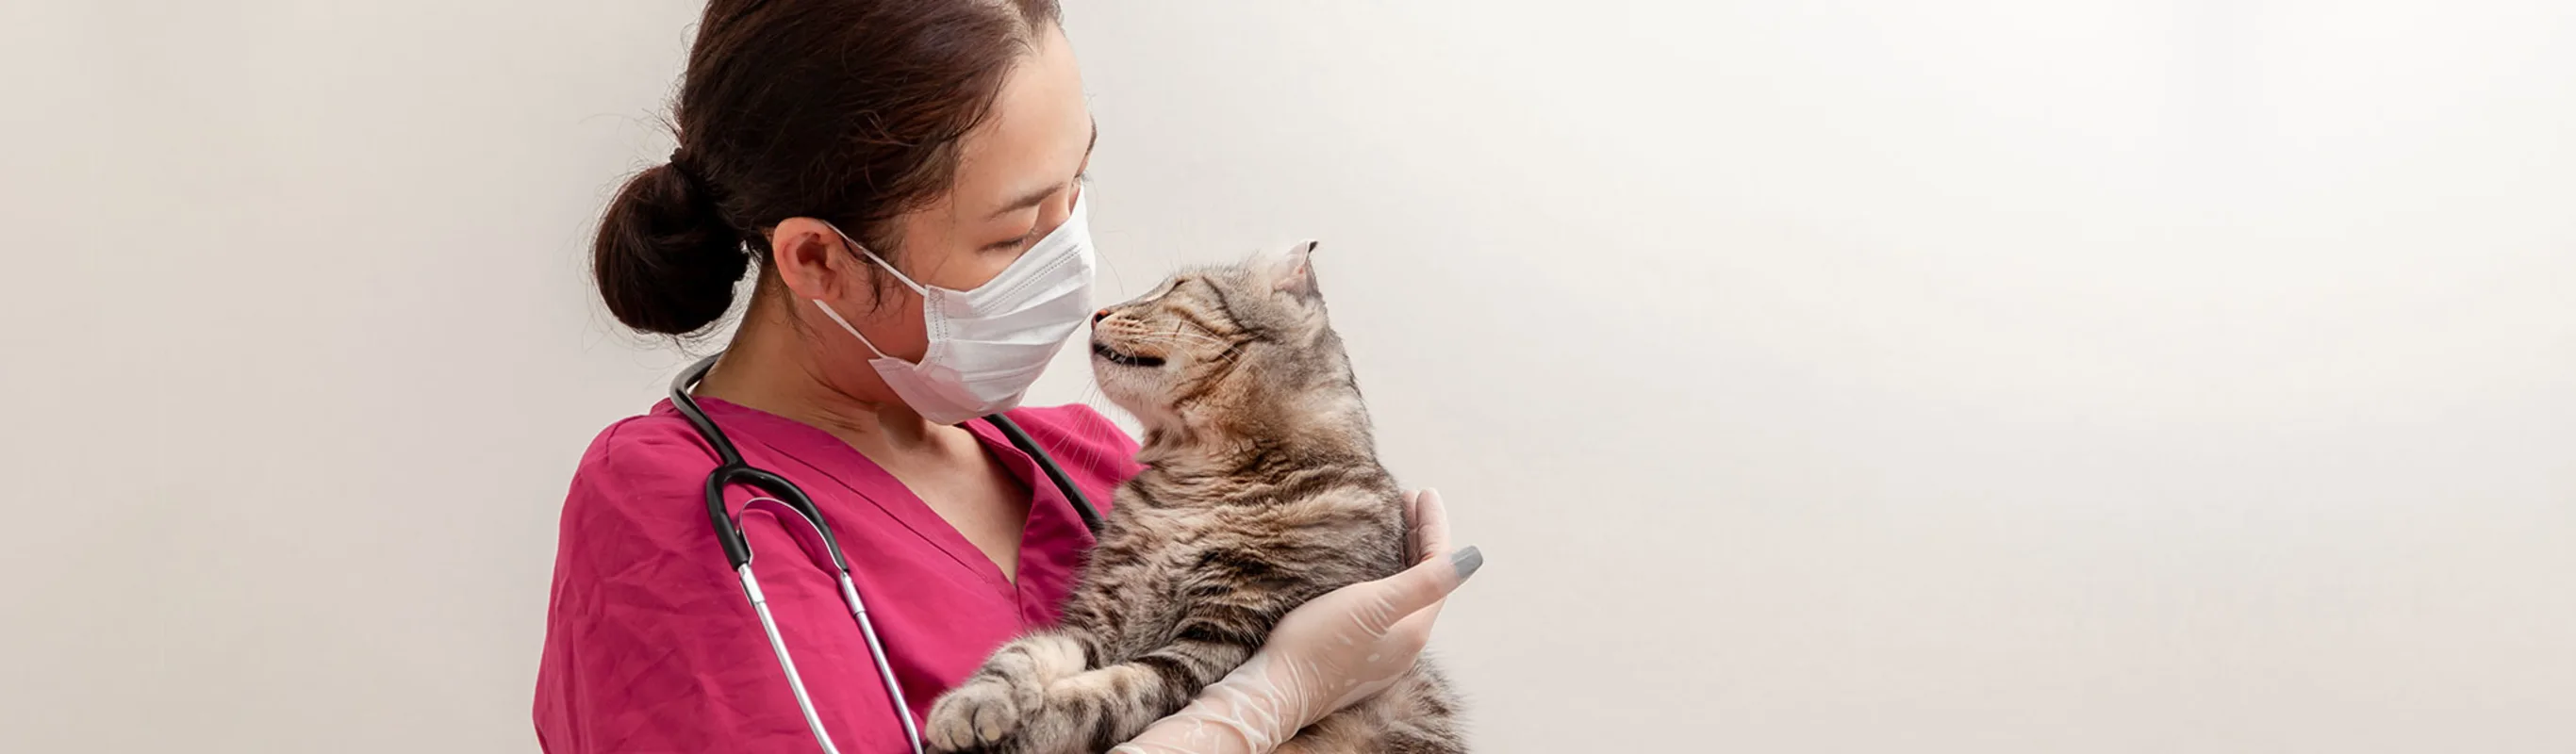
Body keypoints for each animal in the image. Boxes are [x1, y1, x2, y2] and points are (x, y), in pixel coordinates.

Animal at [916, 240, 1462, 751]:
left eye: (1176, 288)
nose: (1099, 312)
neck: (1197, 484)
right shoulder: (1098, 619)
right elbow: (1027, 651)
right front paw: (976, 699)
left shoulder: (1220, 639)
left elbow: (1100, 699)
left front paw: (1014, 734)